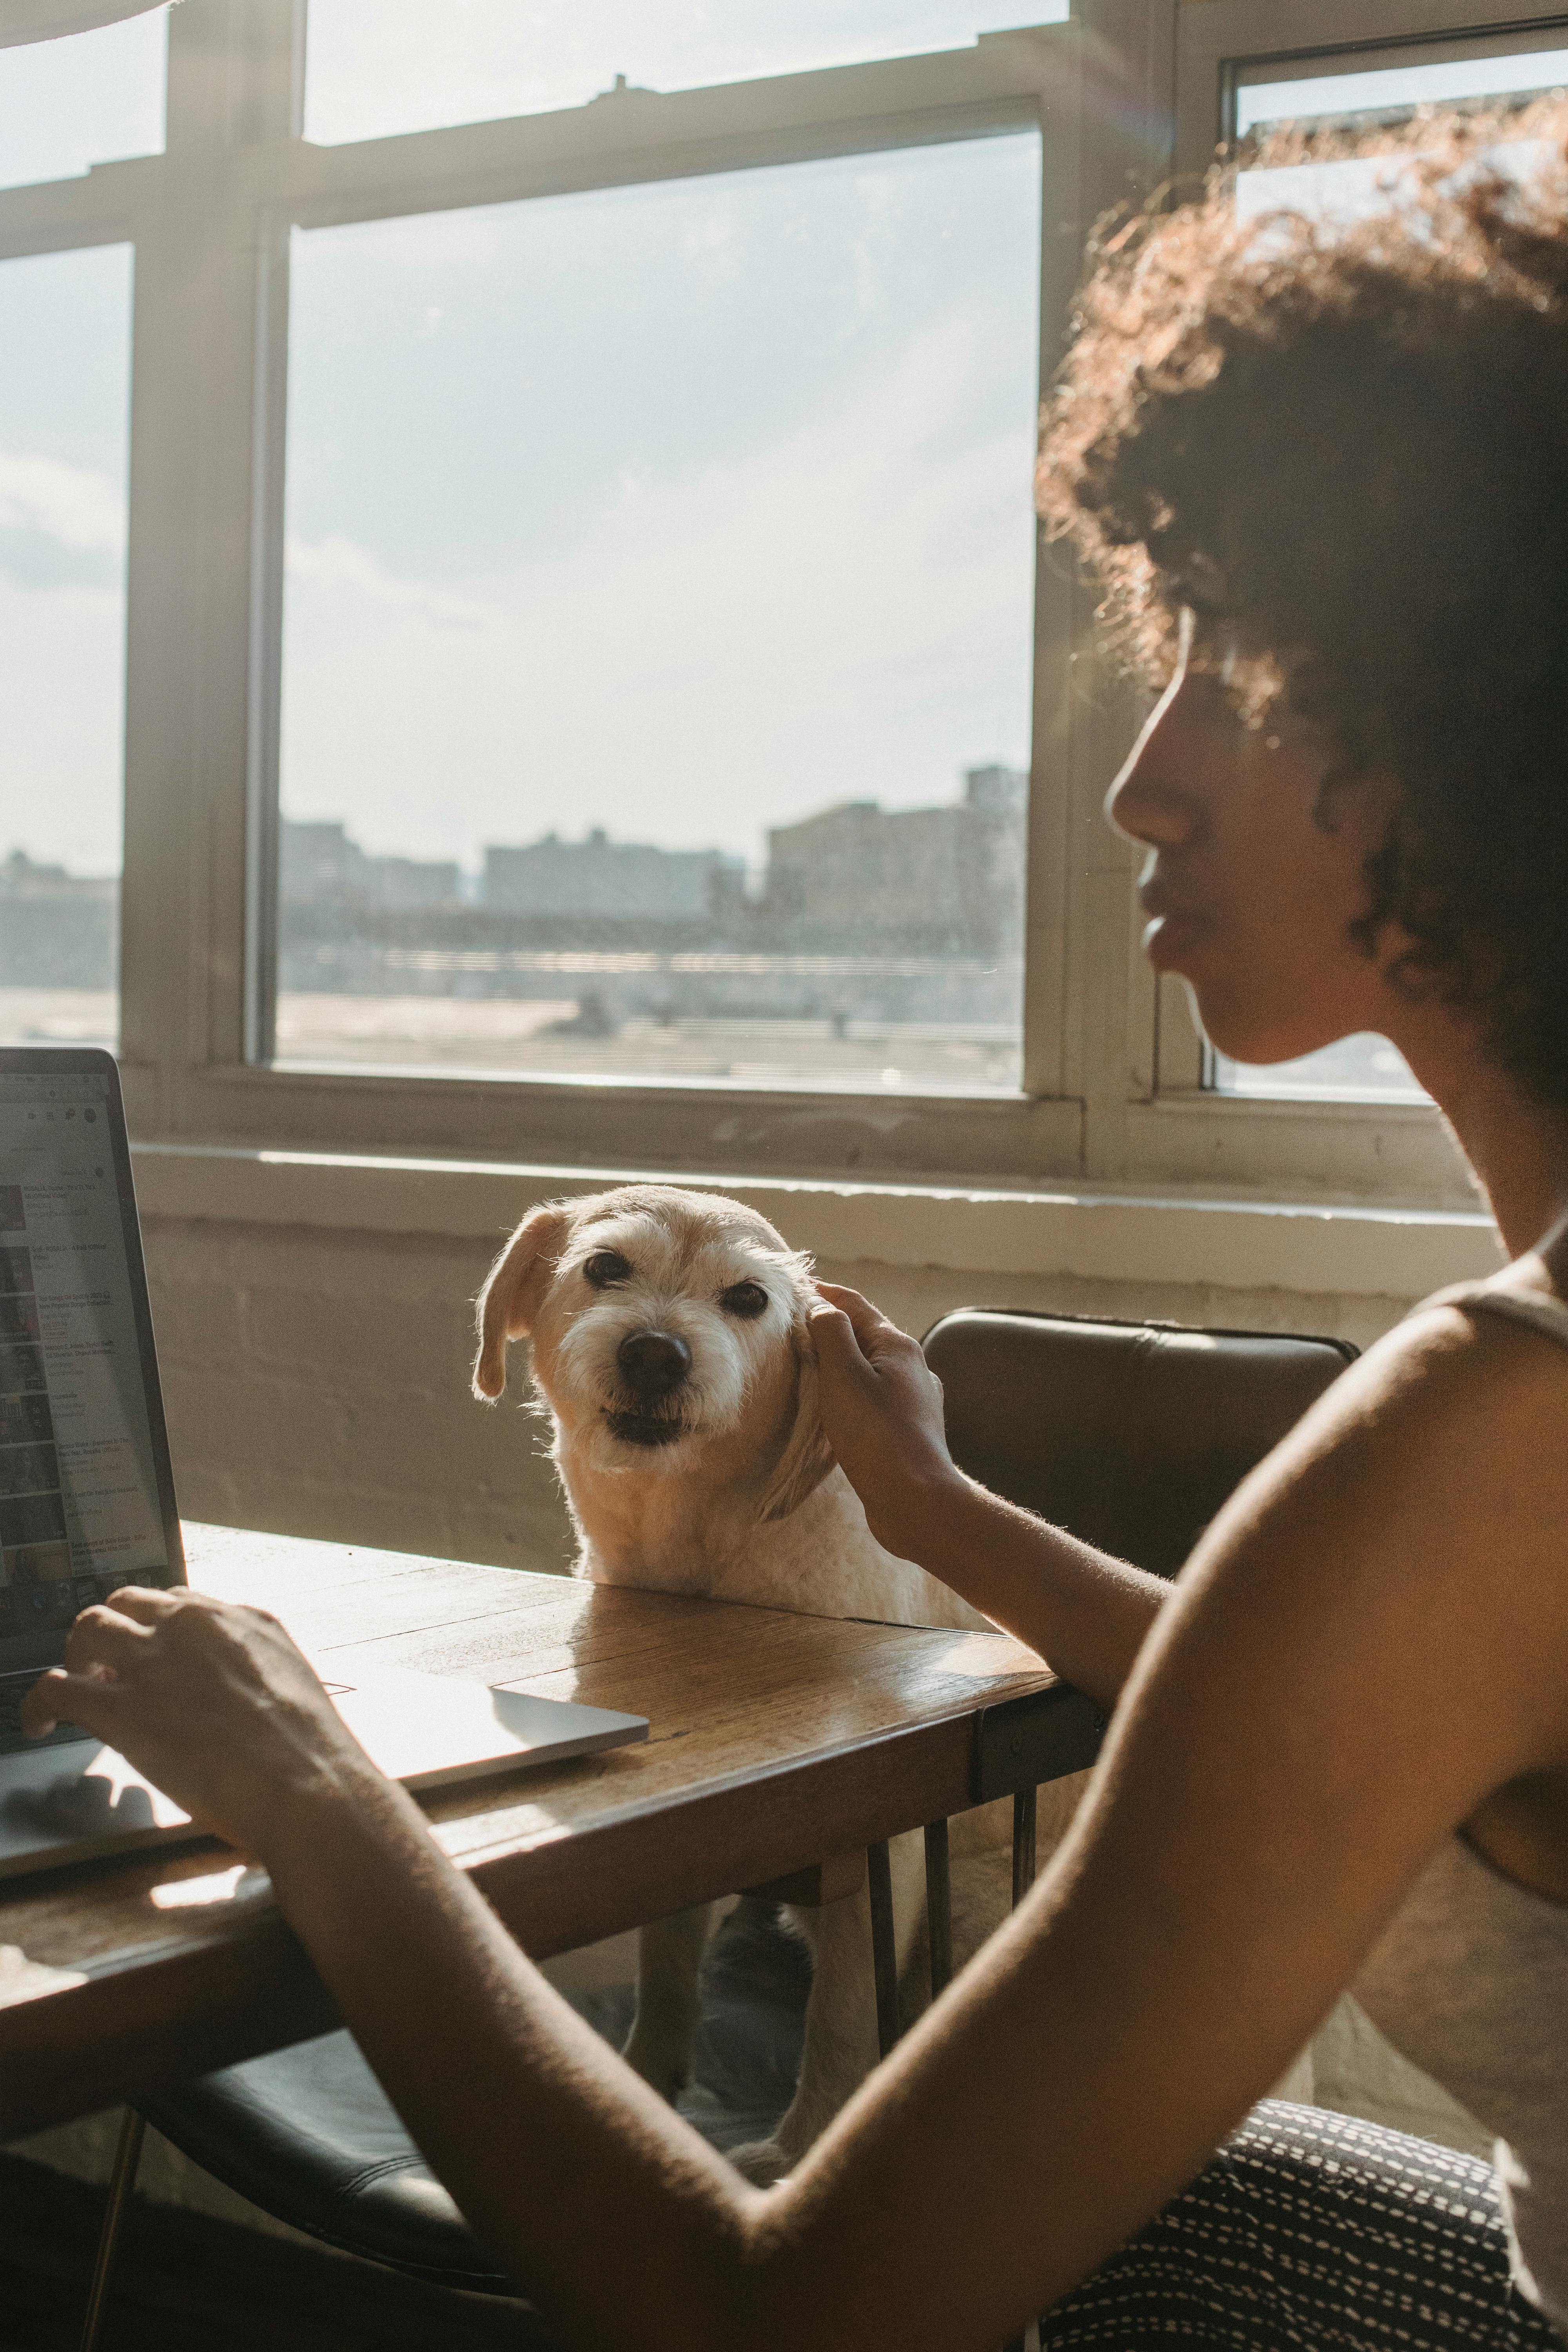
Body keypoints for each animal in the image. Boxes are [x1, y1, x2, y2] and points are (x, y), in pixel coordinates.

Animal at [465, 1185, 1081, 2173]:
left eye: (748, 1299)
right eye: (605, 1267)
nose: (655, 1351)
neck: (697, 1539)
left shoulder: (879, 1865)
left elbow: (841, 2023)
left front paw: (793, 2154)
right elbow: (666, 1967)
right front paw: (645, 2080)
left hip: (973, 1920)